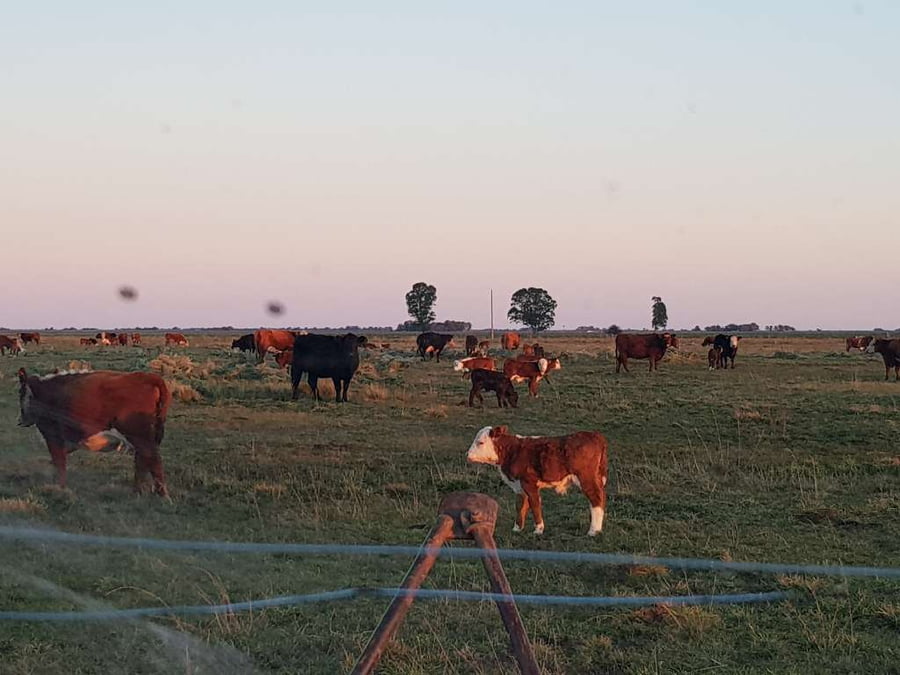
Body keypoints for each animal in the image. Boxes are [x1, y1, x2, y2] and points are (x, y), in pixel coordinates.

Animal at [16, 368, 171, 495]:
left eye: (20, 393)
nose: (20, 421)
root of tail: (147, 377)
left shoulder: (53, 437)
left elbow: (59, 464)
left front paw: (60, 488)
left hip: (140, 436)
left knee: (153, 460)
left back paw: (161, 495)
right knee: (143, 461)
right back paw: (138, 492)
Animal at [466, 426, 609, 536]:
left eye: (480, 442)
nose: (467, 455)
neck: (513, 451)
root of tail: (595, 435)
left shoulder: (529, 483)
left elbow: (534, 504)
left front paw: (538, 529)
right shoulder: (519, 486)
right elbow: (520, 506)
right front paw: (517, 528)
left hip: (586, 478)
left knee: (596, 498)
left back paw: (593, 531)